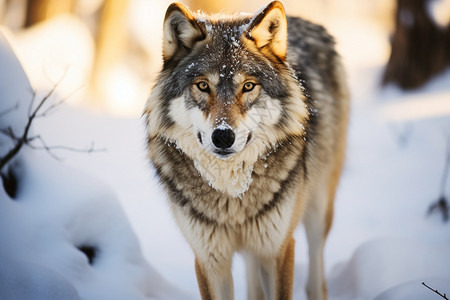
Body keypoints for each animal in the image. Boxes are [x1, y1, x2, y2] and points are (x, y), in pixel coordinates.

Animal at [144, 1, 348, 298]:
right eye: (203, 85)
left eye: (248, 86)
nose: (223, 137)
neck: (232, 195)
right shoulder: (209, 260)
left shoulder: (278, 250)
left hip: (318, 210)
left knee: (315, 275)